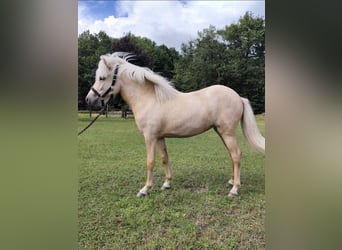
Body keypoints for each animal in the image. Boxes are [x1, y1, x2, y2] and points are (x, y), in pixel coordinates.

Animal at [85, 52, 264, 197]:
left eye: (102, 78)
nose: (89, 99)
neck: (149, 99)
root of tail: (238, 97)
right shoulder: (159, 137)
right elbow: (164, 158)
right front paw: (166, 184)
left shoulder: (150, 137)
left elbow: (150, 161)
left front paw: (145, 189)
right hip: (221, 132)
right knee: (232, 155)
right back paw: (230, 182)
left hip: (227, 133)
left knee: (236, 155)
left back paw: (234, 189)